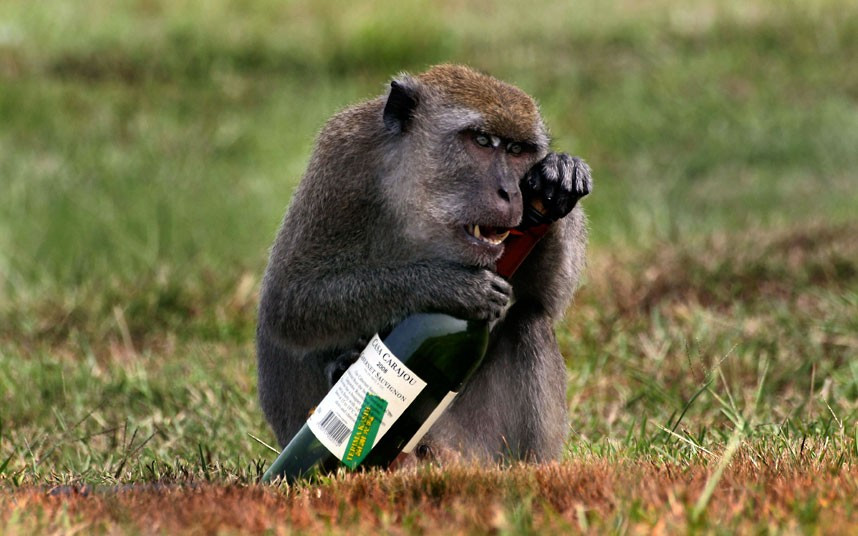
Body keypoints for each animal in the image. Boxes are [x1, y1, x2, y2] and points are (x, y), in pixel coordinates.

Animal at [256, 64, 592, 464]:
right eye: (482, 140)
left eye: (515, 150)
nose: (511, 193)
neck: (418, 194)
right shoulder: (343, 163)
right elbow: (289, 301)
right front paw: (449, 286)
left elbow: (545, 299)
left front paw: (559, 178)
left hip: (477, 444)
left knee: (530, 321)